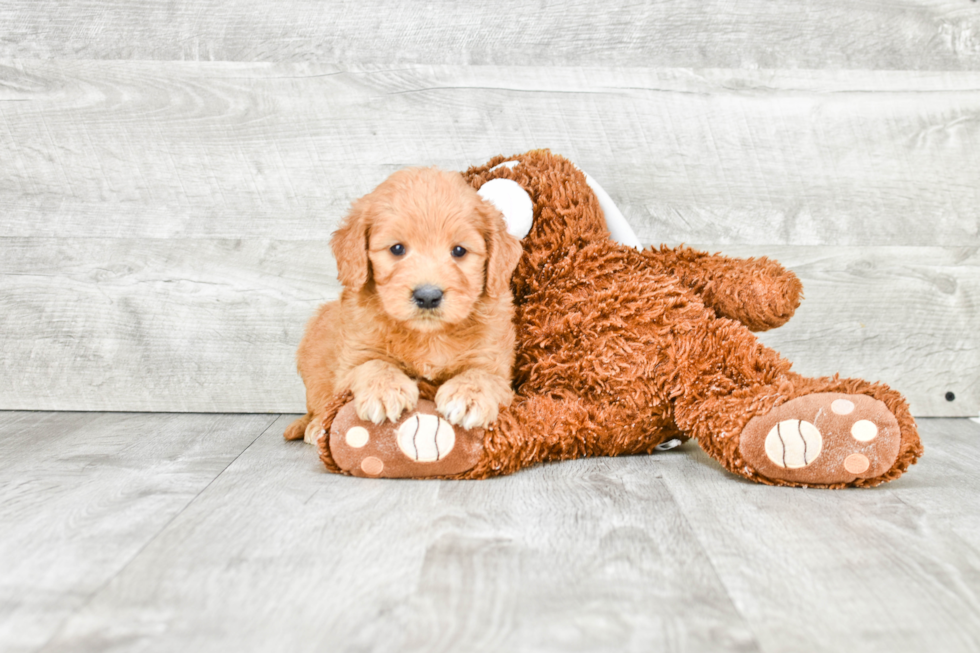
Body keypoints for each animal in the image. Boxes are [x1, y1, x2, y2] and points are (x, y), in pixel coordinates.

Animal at [284, 167, 524, 444]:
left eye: (459, 251)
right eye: (397, 249)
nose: (428, 296)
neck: (428, 336)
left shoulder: (495, 364)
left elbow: (482, 375)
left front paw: (468, 396)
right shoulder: (351, 360)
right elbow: (372, 364)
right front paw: (384, 390)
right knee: (317, 405)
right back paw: (314, 427)